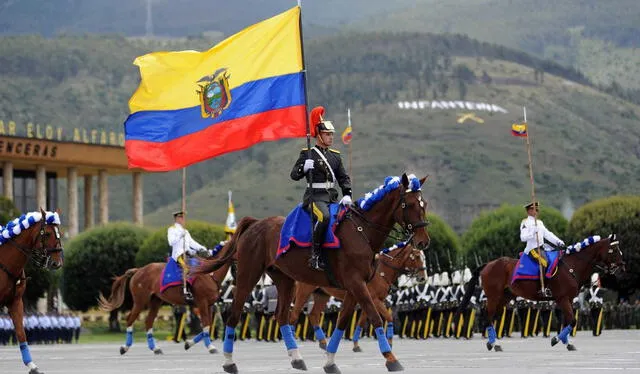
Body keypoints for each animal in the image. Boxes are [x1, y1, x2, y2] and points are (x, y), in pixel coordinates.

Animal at [0, 209, 63, 372]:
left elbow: (21, 333)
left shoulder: (15, 302)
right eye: (47, 233)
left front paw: (31, 364)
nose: (57, 263)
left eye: (59, 232)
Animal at [99, 234, 241, 356]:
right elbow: (206, 324)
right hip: (140, 301)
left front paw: (188, 343)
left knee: (148, 322)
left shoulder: (210, 305)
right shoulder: (202, 303)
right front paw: (210, 347)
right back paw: (125, 347)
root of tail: (139, 270)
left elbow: (208, 325)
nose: (230, 282)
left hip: (155, 301)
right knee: (130, 319)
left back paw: (155, 348)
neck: (210, 274)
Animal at [288, 241, 428, 352]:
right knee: (294, 315)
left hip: (322, 294)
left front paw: (356, 345)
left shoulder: (368, 301)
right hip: (304, 292)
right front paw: (389, 343)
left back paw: (323, 343)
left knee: (313, 314)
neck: (381, 272)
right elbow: (388, 317)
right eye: (416, 256)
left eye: (423, 257)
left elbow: (361, 322)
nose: (423, 277)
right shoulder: (375, 300)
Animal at [458, 235, 628, 352]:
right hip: (494, 297)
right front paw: (556, 339)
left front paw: (567, 342)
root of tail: (489, 264)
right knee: (488, 316)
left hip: (503, 298)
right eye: (613, 250)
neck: (571, 265)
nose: (622, 268)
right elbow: (572, 321)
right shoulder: (562, 298)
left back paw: (492, 342)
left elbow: (568, 321)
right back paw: (494, 343)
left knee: (492, 317)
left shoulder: (567, 300)